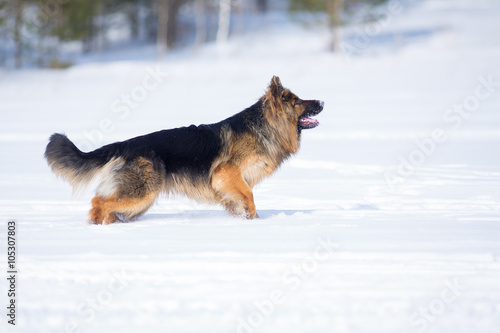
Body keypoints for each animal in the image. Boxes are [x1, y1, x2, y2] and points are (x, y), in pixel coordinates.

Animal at [44, 76, 324, 223]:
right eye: (297, 102)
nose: (322, 101)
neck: (263, 127)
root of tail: (124, 145)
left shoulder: (229, 185)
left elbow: (239, 199)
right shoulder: (226, 172)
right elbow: (249, 195)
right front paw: (253, 218)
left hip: (139, 201)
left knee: (109, 205)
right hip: (142, 193)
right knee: (98, 201)